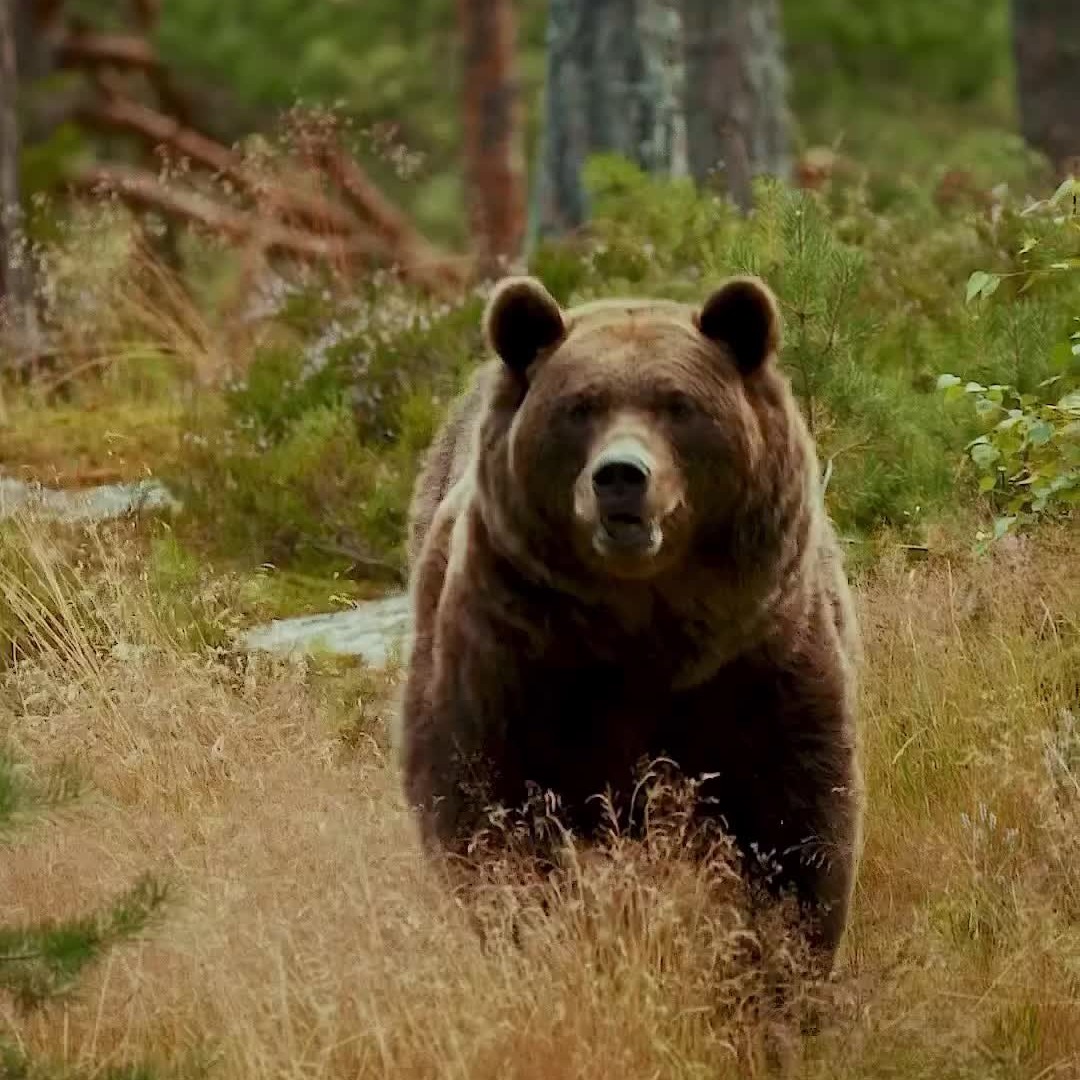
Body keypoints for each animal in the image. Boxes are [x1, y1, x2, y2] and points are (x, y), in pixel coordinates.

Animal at [396, 273, 864, 983]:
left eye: (678, 405)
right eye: (580, 407)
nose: (621, 475)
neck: (642, 624)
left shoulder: (759, 657)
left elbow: (795, 820)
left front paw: (778, 968)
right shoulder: (510, 658)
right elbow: (483, 808)